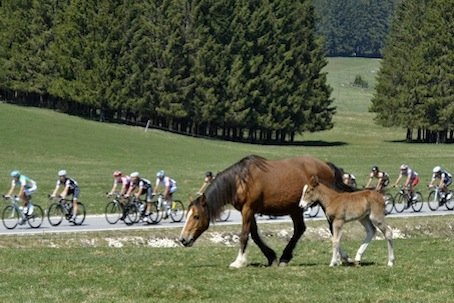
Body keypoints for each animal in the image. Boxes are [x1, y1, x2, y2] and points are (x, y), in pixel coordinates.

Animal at [179, 156, 352, 270]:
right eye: (187, 215)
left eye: (196, 216)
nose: (183, 239)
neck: (240, 180)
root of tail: (326, 165)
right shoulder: (248, 211)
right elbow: (255, 235)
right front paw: (271, 257)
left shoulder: (247, 209)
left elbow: (244, 235)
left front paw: (239, 261)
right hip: (295, 209)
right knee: (300, 229)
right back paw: (286, 257)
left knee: (332, 229)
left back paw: (340, 257)